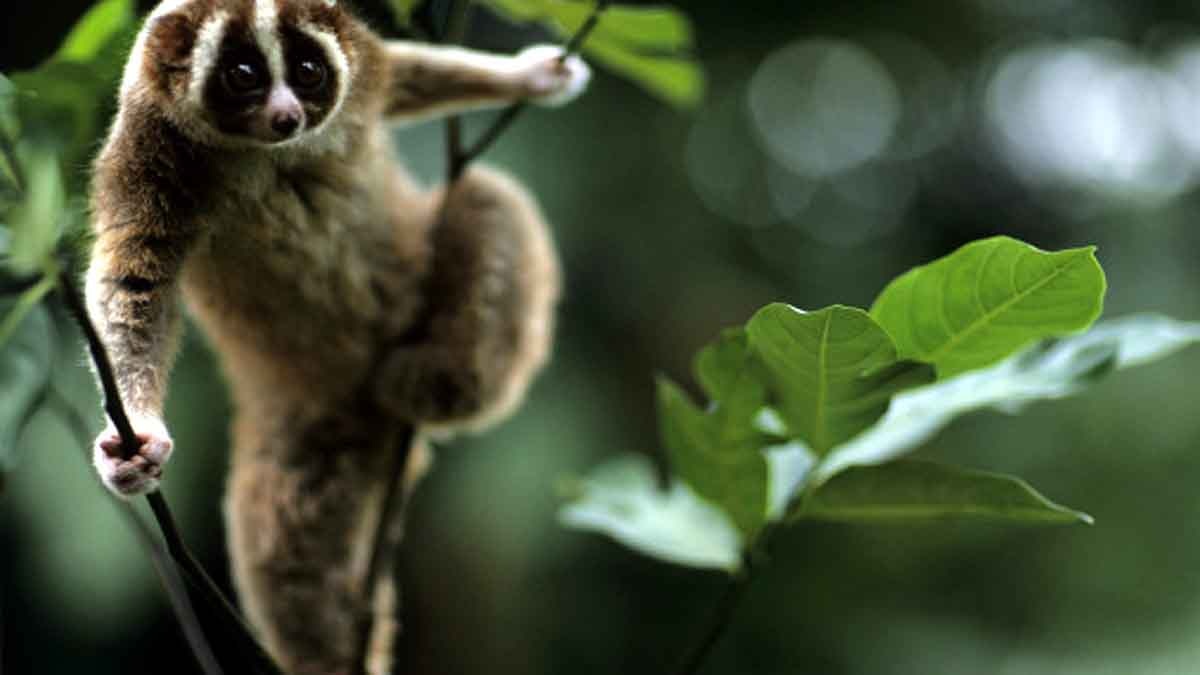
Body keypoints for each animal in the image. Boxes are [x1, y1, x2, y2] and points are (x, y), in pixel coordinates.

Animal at [83, 1, 589, 673]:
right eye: (242, 74)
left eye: (308, 70)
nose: (288, 115)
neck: (264, 150)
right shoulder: (147, 150)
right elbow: (135, 280)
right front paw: (133, 445)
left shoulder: (362, 75)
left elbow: (406, 76)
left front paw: (534, 77)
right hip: (309, 421)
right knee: (279, 538)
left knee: (489, 195)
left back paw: (430, 381)